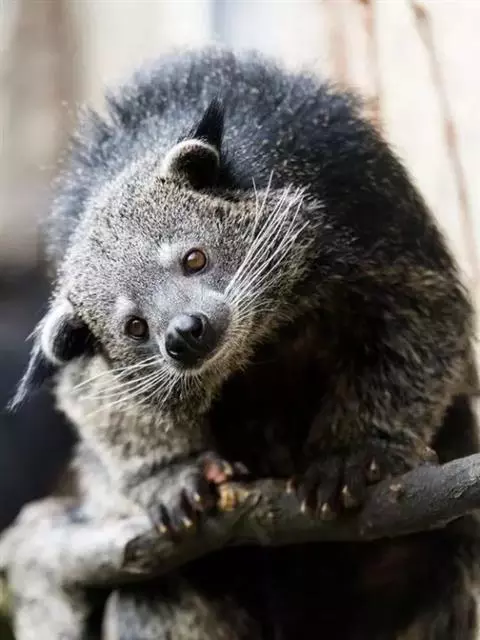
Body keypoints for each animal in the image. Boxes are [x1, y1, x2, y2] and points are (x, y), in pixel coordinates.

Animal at [11, 46, 480, 639]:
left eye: (194, 258)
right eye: (135, 327)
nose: (182, 333)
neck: (259, 342)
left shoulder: (366, 205)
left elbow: (422, 316)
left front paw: (355, 450)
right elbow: (98, 401)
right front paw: (173, 472)